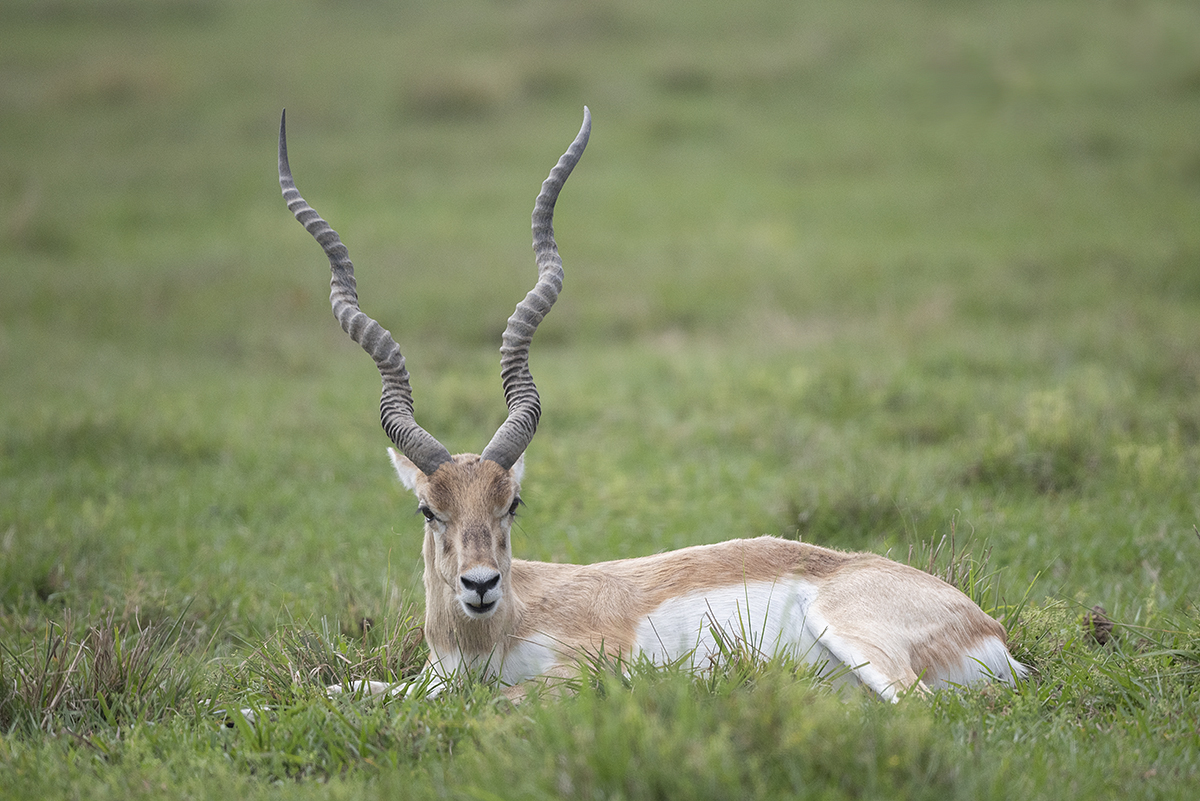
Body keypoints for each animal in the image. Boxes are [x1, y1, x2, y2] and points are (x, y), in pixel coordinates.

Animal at [276, 107, 1027, 700]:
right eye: (429, 509)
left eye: (511, 503)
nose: (480, 583)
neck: (498, 629)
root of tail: (988, 628)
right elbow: (336, 690)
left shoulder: (588, 669)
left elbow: (507, 698)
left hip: (857, 640)